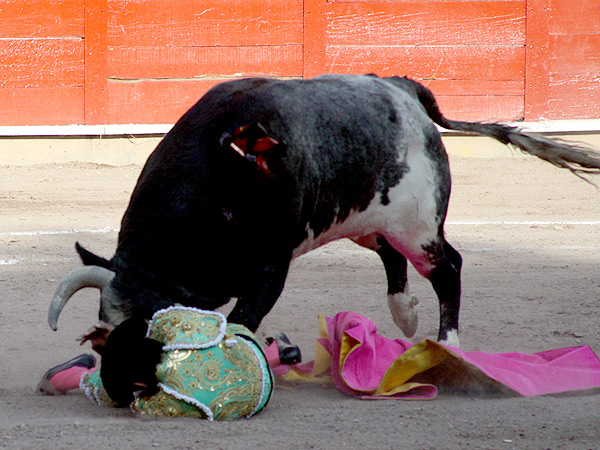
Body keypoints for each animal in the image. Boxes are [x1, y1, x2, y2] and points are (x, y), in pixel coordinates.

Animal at [48, 74, 600, 348]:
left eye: (147, 323)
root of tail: (403, 88)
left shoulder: (270, 266)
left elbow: (246, 317)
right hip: (366, 219)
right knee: (393, 257)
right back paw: (404, 316)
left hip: (417, 223)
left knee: (447, 268)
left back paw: (449, 343)